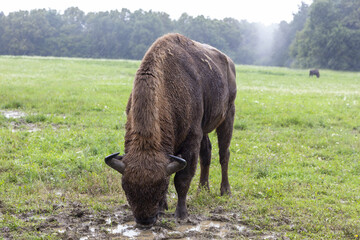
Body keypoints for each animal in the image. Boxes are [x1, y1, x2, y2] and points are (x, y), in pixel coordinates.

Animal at [105, 32, 238, 228]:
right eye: (126, 188)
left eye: (162, 187)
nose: (144, 221)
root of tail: (229, 62)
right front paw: (163, 208)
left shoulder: (192, 138)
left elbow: (182, 178)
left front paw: (181, 214)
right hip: (205, 129)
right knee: (206, 154)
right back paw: (202, 190)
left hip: (228, 116)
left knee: (224, 154)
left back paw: (225, 191)